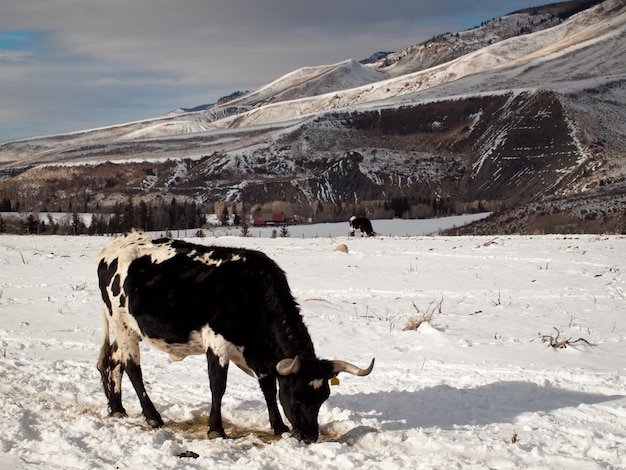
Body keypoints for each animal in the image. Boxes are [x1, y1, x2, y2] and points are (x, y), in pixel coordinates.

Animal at [95, 231, 372, 444]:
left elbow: (268, 387)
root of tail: (111, 248)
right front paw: (216, 429)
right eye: (296, 395)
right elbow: (218, 385)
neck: (251, 292)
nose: (309, 436)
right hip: (122, 324)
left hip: (127, 329)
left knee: (114, 361)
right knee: (132, 368)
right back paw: (152, 416)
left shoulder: (260, 356)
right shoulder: (217, 343)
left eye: (323, 397)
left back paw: (117, 409)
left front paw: (279, 426)